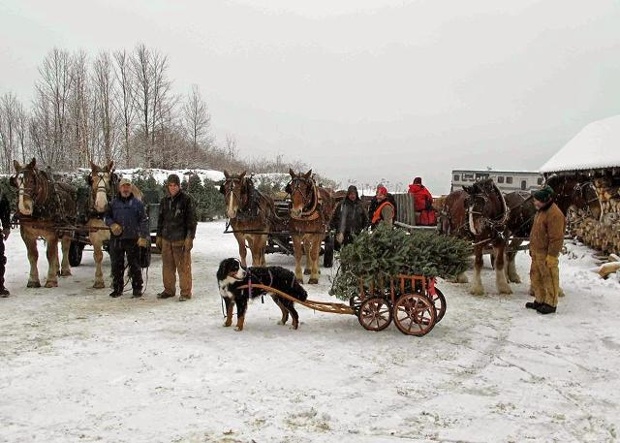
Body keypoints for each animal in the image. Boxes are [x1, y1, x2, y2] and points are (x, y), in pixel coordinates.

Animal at [11, 159, 77, 288]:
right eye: (16, 182)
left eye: (32, 181)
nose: (24, 208)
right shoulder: (26, 234)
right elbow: (32, 255)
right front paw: (33, 280)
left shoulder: (51, 233)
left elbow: (50, 254)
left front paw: (51, 280)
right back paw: (56, 269)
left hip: (67, 229)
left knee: (65, 247)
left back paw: (65, 270)